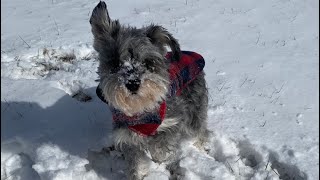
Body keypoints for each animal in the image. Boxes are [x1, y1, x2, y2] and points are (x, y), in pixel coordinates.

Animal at [90, 1, 210, 179]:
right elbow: (136, 163)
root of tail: (193, 55)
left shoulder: (171, 124)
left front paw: (161, 159)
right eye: (115, 63)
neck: (141, 113)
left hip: (195, 111)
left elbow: (161, 148)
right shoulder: (128, 138)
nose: (133, 83)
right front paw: (139, 173)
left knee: (201, 129)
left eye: (147, 62)